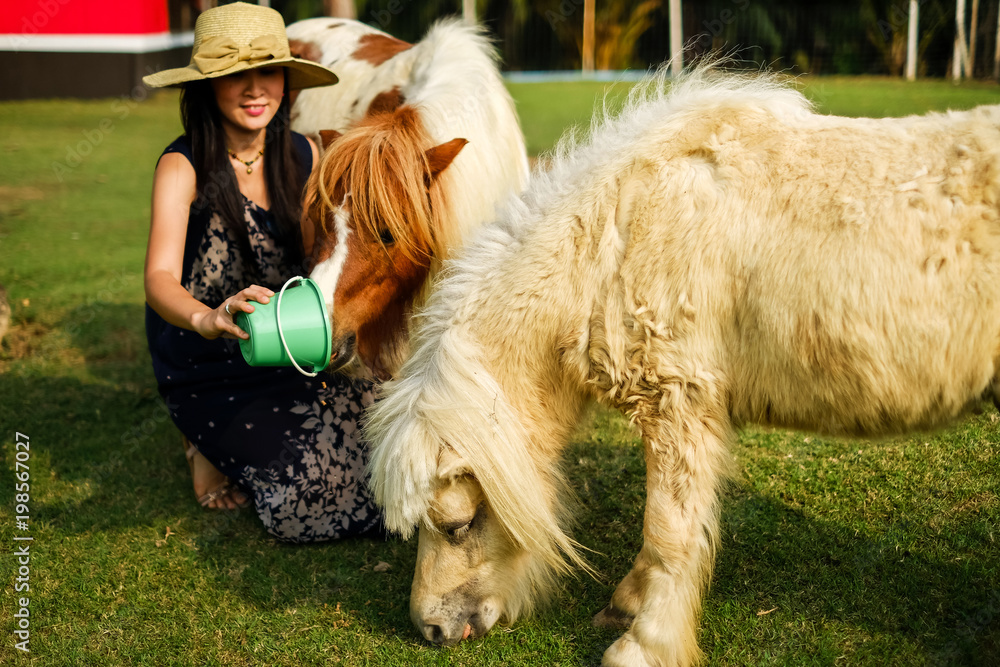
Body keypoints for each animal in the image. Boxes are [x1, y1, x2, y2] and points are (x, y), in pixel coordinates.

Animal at [364, 69, 1000, 667]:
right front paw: (629, 603)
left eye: (457, 526)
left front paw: (643, 645)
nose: (430, 629)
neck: (617, 237)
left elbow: (670, 531)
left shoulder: (677, 402)